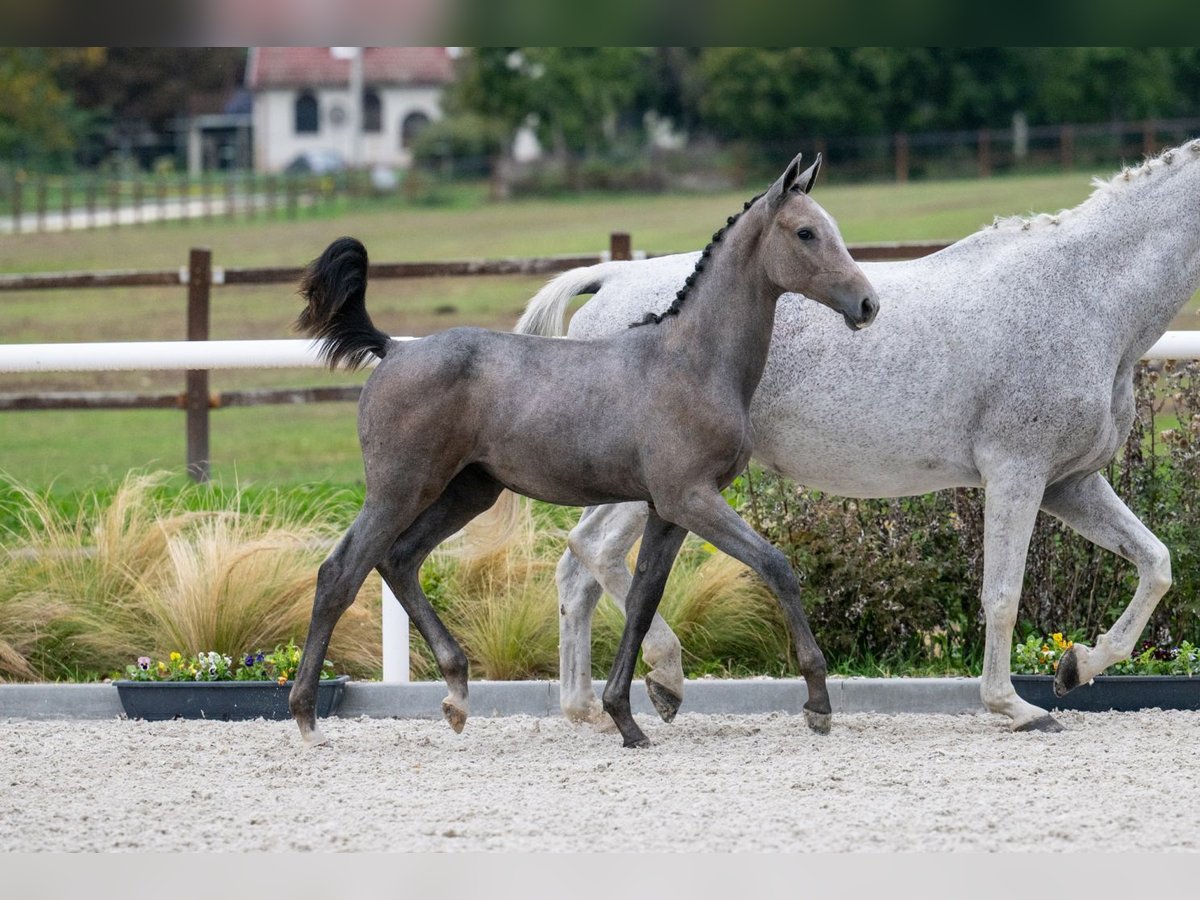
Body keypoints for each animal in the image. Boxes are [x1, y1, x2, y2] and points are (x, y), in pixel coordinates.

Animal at [285, 157, 878, 753]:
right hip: (399, 489)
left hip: (468, 491)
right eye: (806, 233)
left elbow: (642, 600)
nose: (868, 303)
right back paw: (308, 718)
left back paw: (456, 693)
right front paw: (818, 704)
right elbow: (776, 566)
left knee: (400, 559)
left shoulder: (668, 511)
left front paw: (629, 715)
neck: (692, 361)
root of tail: (393, 350)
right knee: (340, 572)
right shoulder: (691, 499)